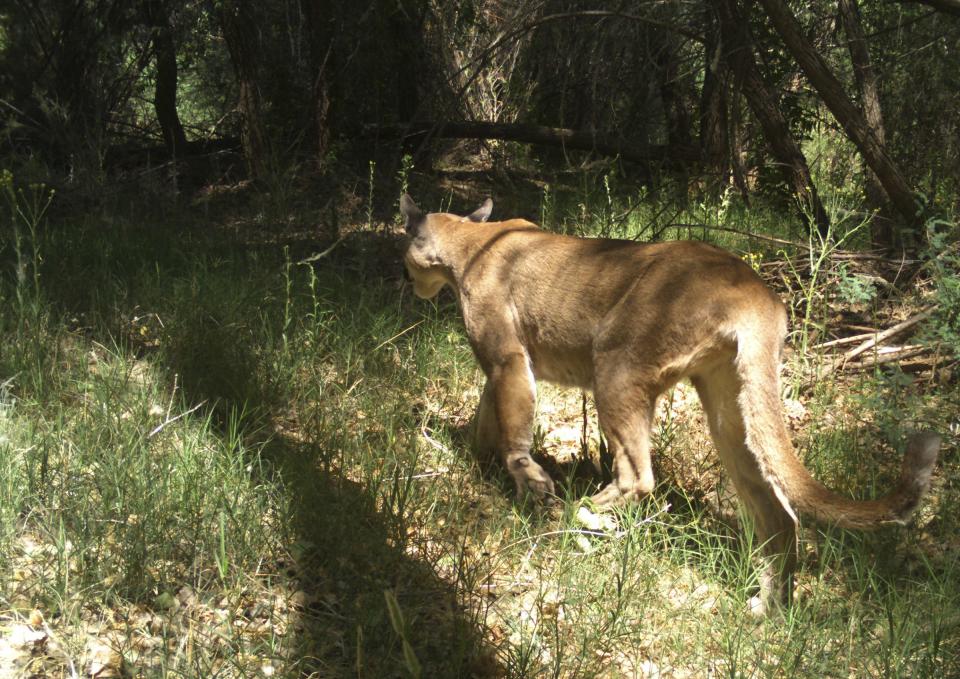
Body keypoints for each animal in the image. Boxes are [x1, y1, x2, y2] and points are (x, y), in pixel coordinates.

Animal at [402, 194, 940, 612]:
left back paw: (584, 514)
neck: (472, 239)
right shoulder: (499, 367)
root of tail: (756, 291)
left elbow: (512, 425)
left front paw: (527, 482)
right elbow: (486, 415)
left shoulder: (509, 358)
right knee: (778, 513)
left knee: (639, 476)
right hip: (730, 409)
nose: (409, 284)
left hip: (615, 366)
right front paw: (469, 455)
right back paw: (767, 609)